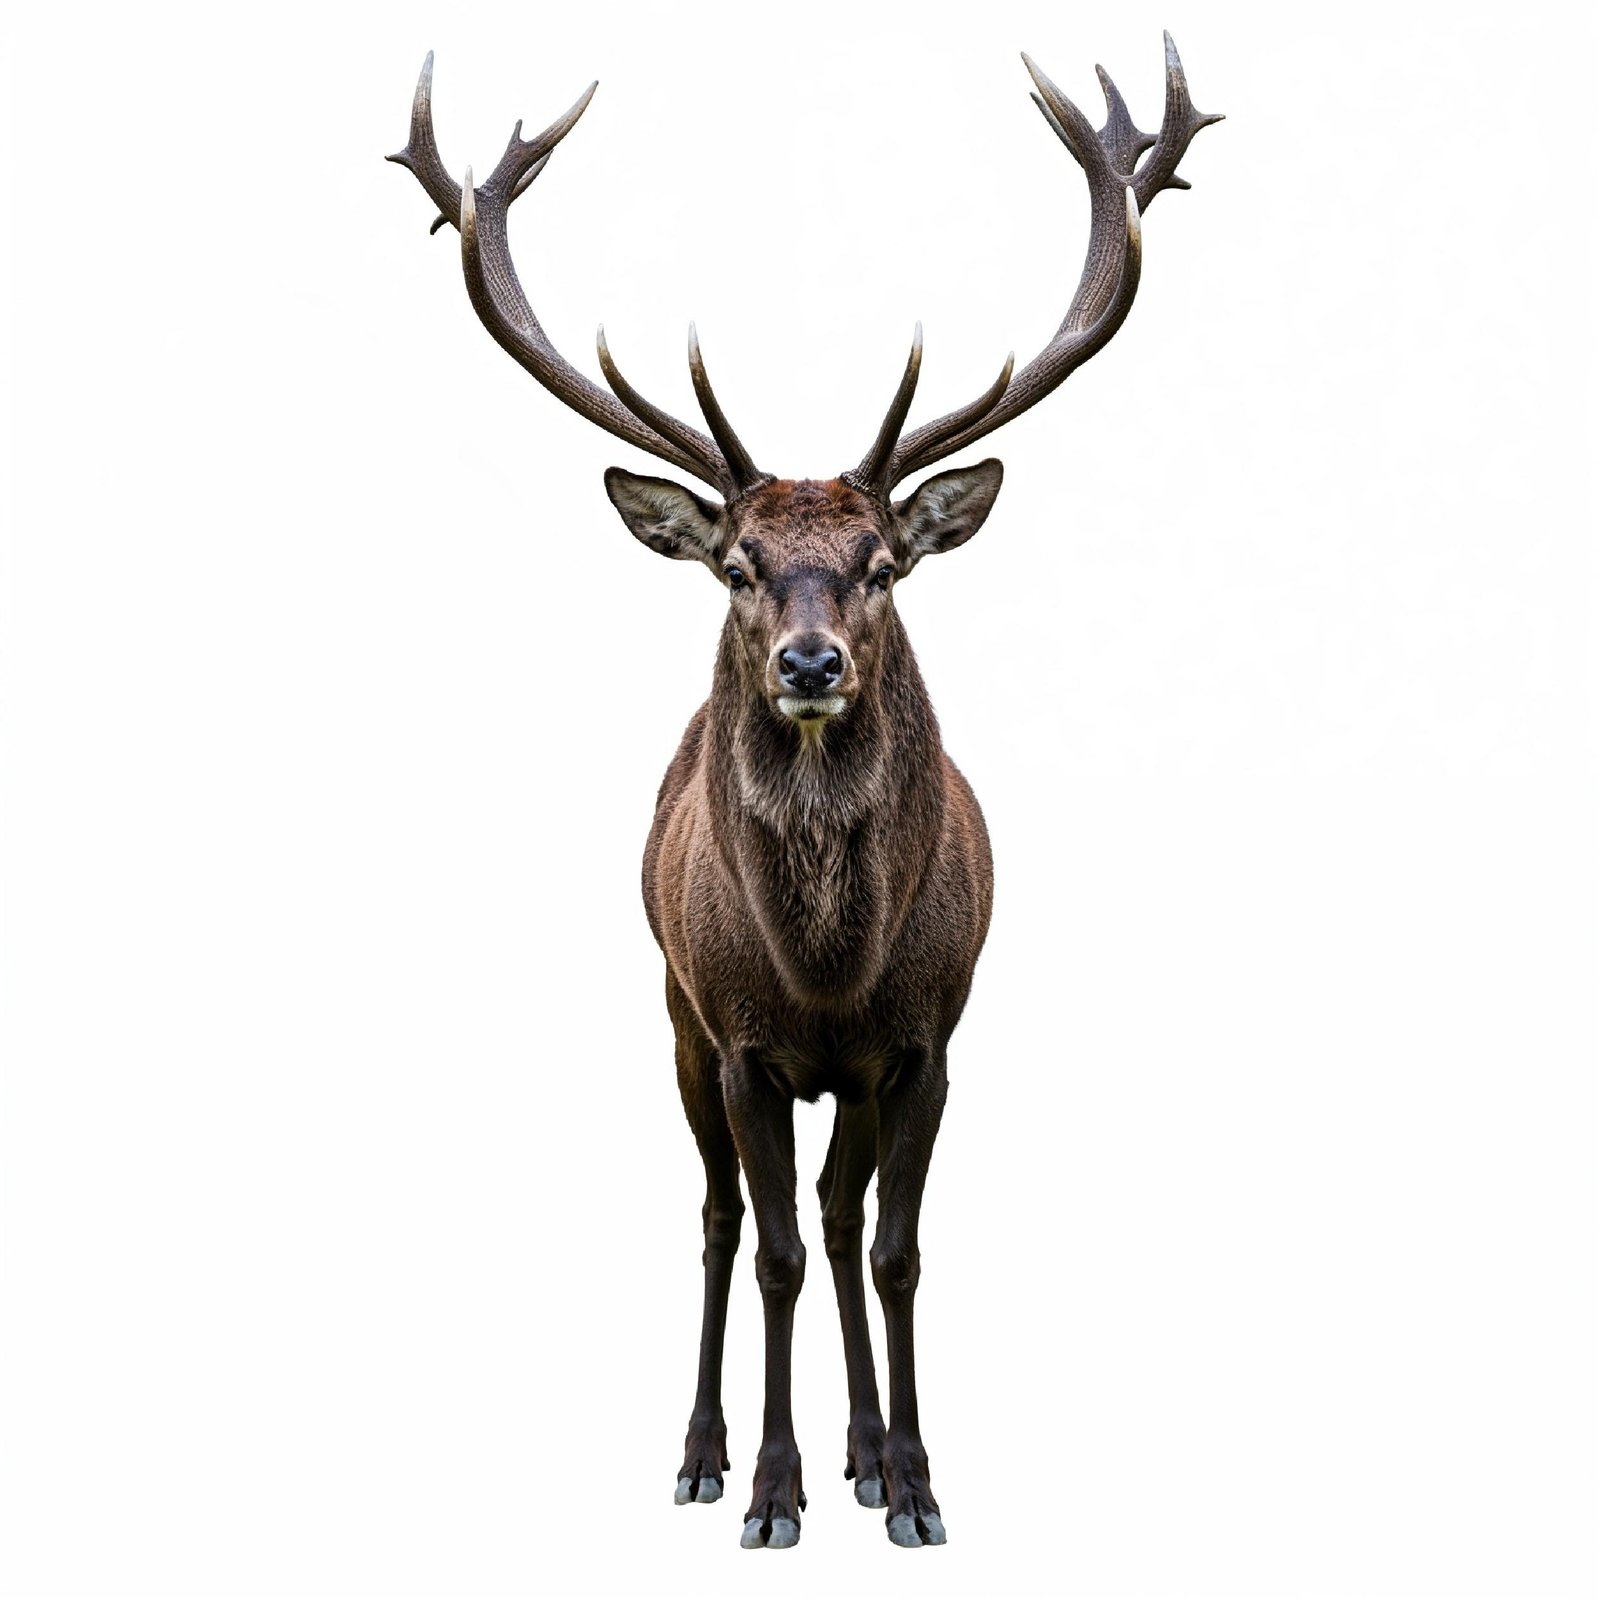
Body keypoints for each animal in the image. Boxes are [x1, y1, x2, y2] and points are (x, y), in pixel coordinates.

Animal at [390, 34, 1219, 1550]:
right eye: (736, 564)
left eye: (885, 561)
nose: (811, 659)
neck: (829, 970)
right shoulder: (742, 1040)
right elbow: (769, 1247)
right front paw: (769, 1492)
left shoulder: (929, 1039)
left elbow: (889, 1249)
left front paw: (917, 1481)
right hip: (671, 1014)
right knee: (724, 1220)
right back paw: (706, 1450)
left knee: (840, 1217)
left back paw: (865, 1454)